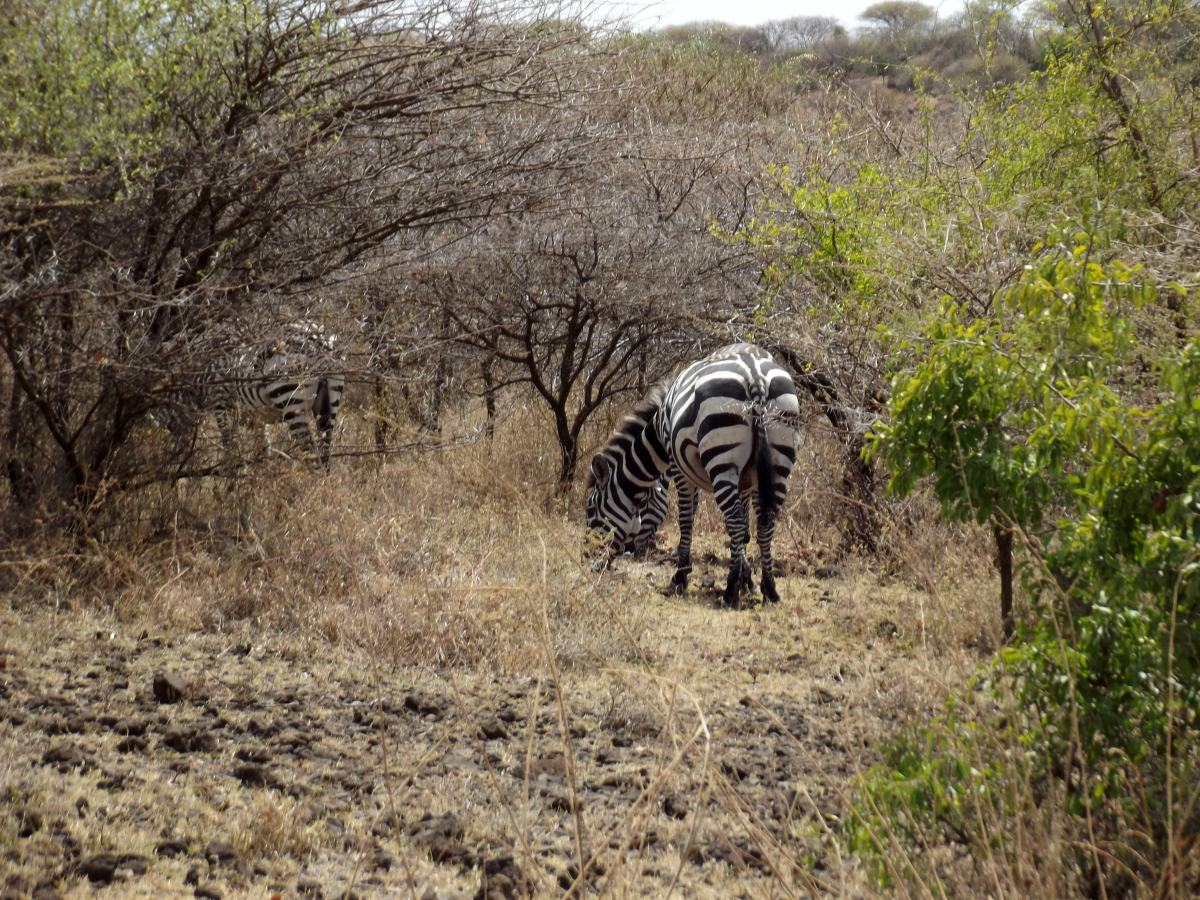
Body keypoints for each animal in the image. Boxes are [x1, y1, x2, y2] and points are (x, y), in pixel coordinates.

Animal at [152, 321, 345, 468]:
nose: (174, 463)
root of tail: (319, 341)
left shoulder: (220, 400)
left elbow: (228, 443)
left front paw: (230, 481)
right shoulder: (256, 414)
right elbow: (264, 447)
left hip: (291, 398)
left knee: (312, 455)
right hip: (329, 403)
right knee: (325, 455)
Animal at [583, 343, 796, 607]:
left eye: (590, 509)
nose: (587, 558)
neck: (659, 429)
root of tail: (756, 378)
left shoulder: (679, 466)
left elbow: (687, 518)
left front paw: (681, 576)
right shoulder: (746, 480)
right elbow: (743, 530)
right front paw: (747, 577)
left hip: (721, 456)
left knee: (736, 520)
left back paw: (730, 591)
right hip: (778, 460)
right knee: (765, 522)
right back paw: (770, 589)